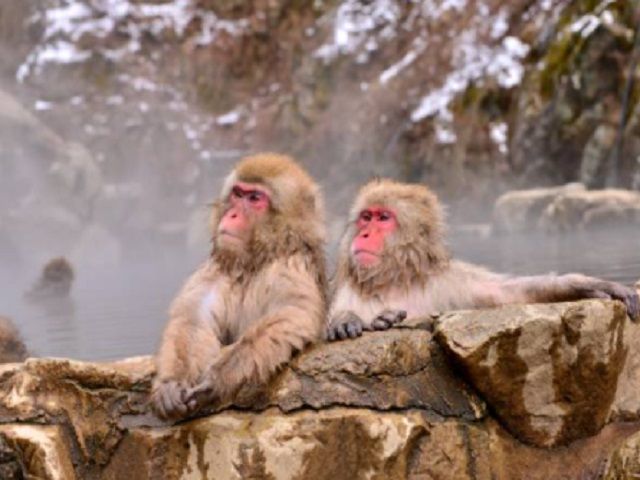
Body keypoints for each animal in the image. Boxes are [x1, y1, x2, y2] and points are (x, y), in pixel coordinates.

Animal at [152, 155, 328, 420]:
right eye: (238, 194)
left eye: (255, 198)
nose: (233, 214)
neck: (254, 261)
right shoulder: (218, 269)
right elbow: (193, 319)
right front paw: (171, 384)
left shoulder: (290, 267)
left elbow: (292, 314)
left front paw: (220, 377)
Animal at [328, 178, 636, 340]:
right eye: (365, 217)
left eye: (383, 217)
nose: (365, 233)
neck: (396, 279)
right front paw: (350, 319)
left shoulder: (452, 282)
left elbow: (507, 293)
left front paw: (590, 284)